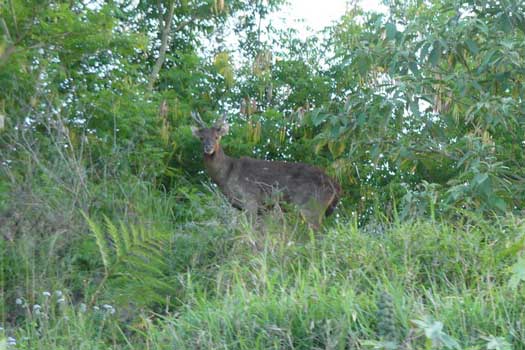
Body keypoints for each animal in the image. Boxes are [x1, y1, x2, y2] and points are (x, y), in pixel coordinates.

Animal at [190, 110, 342, 228]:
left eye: (217, 137)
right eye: (201, 138)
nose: (208, 147)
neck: (226, 176)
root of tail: (336, 187)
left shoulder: (250, 197)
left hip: (312, 204)